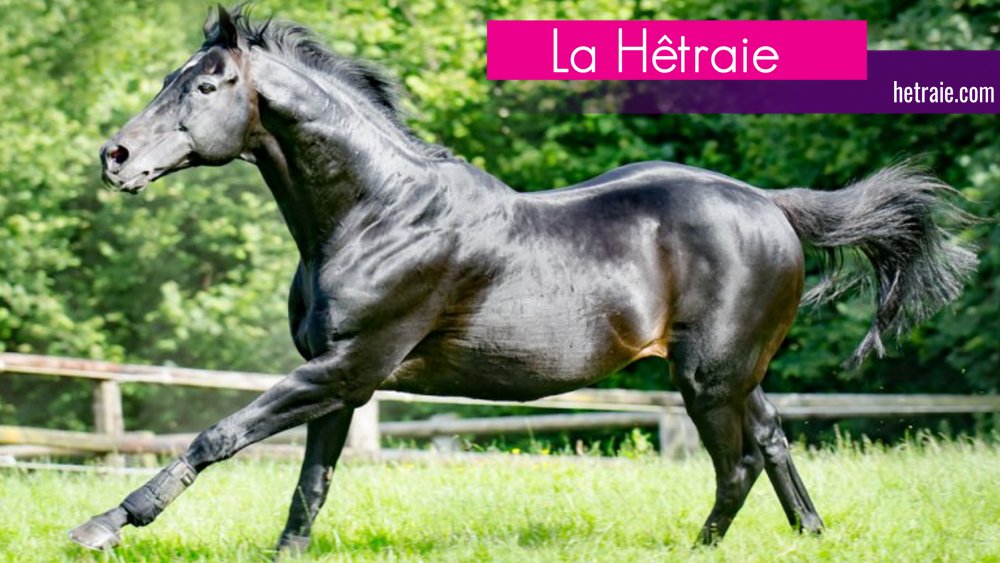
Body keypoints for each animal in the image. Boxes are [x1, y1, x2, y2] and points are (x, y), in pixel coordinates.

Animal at [70, 6, 977, 554]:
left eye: (207, 82)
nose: (115, 156)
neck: (377, 215)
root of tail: (771, 206)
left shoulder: (349, 366)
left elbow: (217, 435)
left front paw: (105, 523)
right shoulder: (341, 381)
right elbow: (309, 487)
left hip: (707, 375)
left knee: (740, 462)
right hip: (733, 371)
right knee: (777, 439)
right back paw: (810, 535)